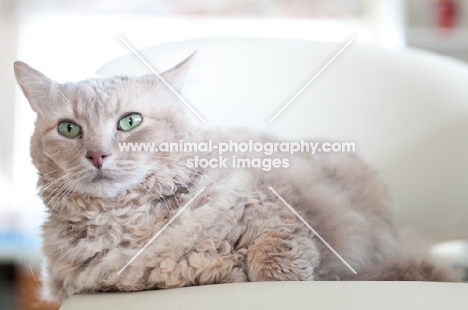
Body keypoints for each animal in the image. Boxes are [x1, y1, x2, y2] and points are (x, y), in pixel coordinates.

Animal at [12, 57, 458, 302]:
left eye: (130, 122)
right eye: (69, 130)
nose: (97, 155)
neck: (130, 223)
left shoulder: (278, 217)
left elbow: (273, 265)